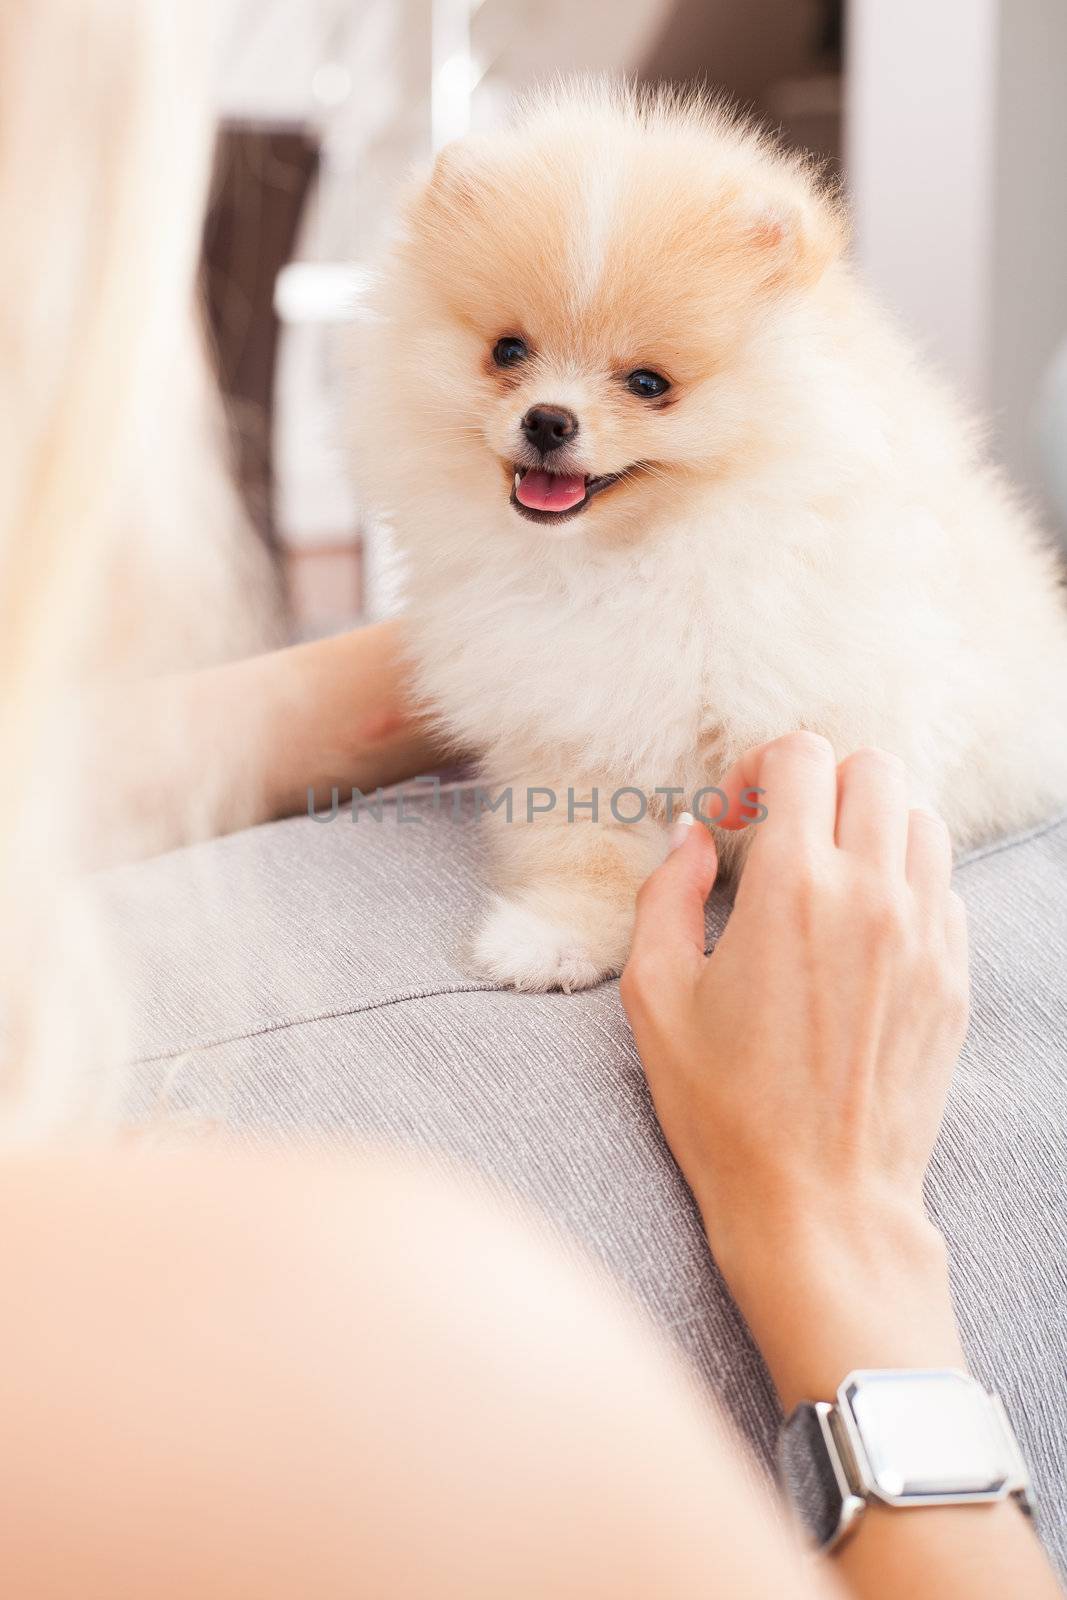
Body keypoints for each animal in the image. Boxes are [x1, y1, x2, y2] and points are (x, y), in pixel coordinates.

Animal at [355, 87, 1067, 992]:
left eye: (648, 383)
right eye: (507, 351)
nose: (547, 420)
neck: (632, 559)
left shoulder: (820, 724)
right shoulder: (567, 731)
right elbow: (581, 850)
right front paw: (556, 938)